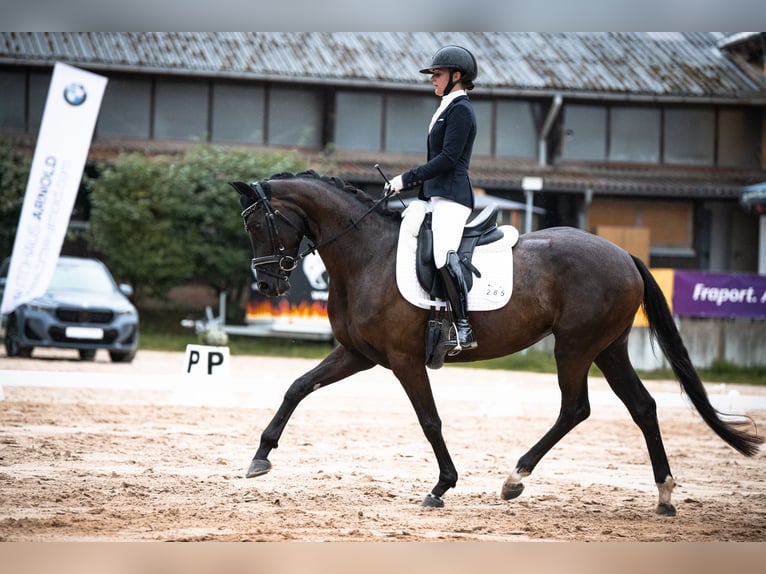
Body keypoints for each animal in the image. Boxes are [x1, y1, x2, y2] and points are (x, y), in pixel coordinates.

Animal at [231, 169, 764, 516]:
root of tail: (623, 254)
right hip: (608, 348)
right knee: (643, 407)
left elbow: (429, 420)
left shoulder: (404, 359)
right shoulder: (359, 354)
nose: (267, 287)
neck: (367, 255)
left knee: (576, 408)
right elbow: (298, 387)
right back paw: (665, 495)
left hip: (574, 347)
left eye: (258, 224)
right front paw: (261, 456)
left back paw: (515, 479)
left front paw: (442, 486)